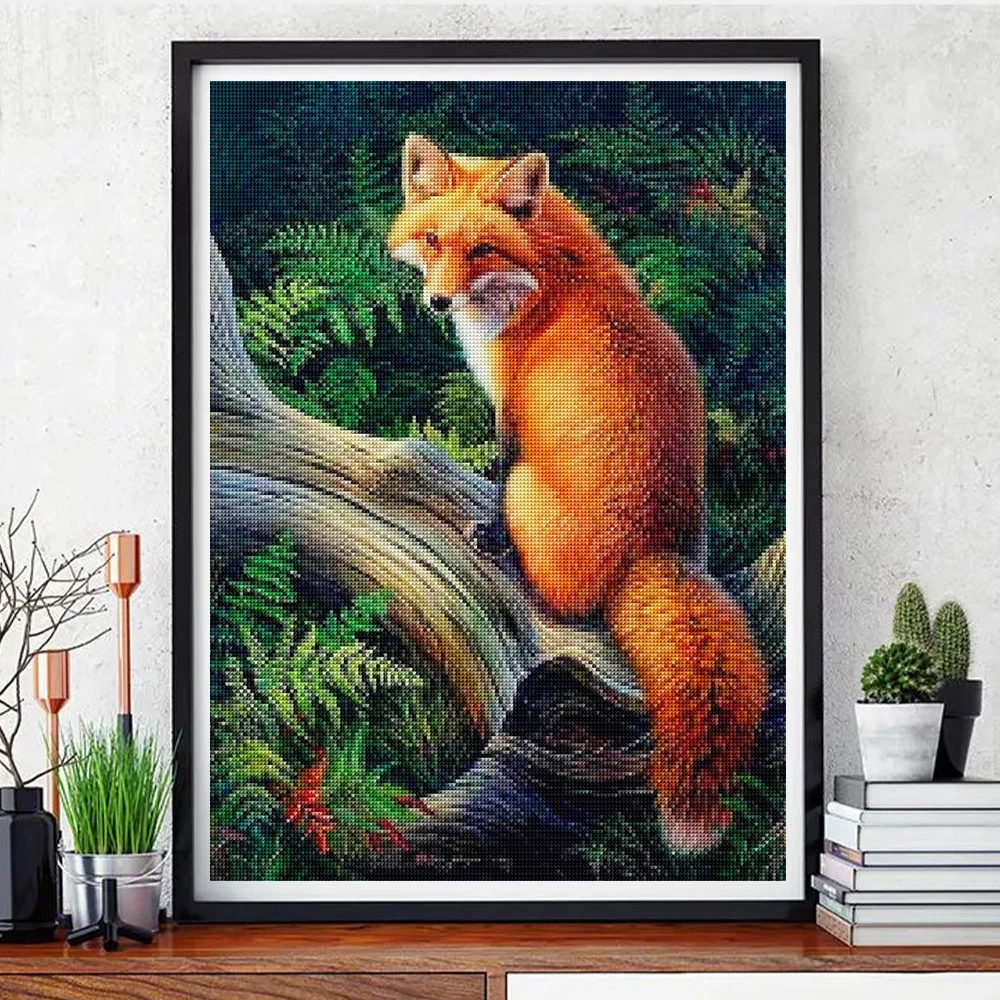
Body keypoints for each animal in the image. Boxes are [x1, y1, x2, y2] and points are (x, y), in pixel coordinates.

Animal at [387, 134, 767, 852]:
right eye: (432, 240)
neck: (550, 279)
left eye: (482, 249)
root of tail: (652, 554)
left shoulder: (511, 410)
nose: (438, 303)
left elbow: (498, 471)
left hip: (533, 492)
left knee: (555, 599)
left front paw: (489, 534)